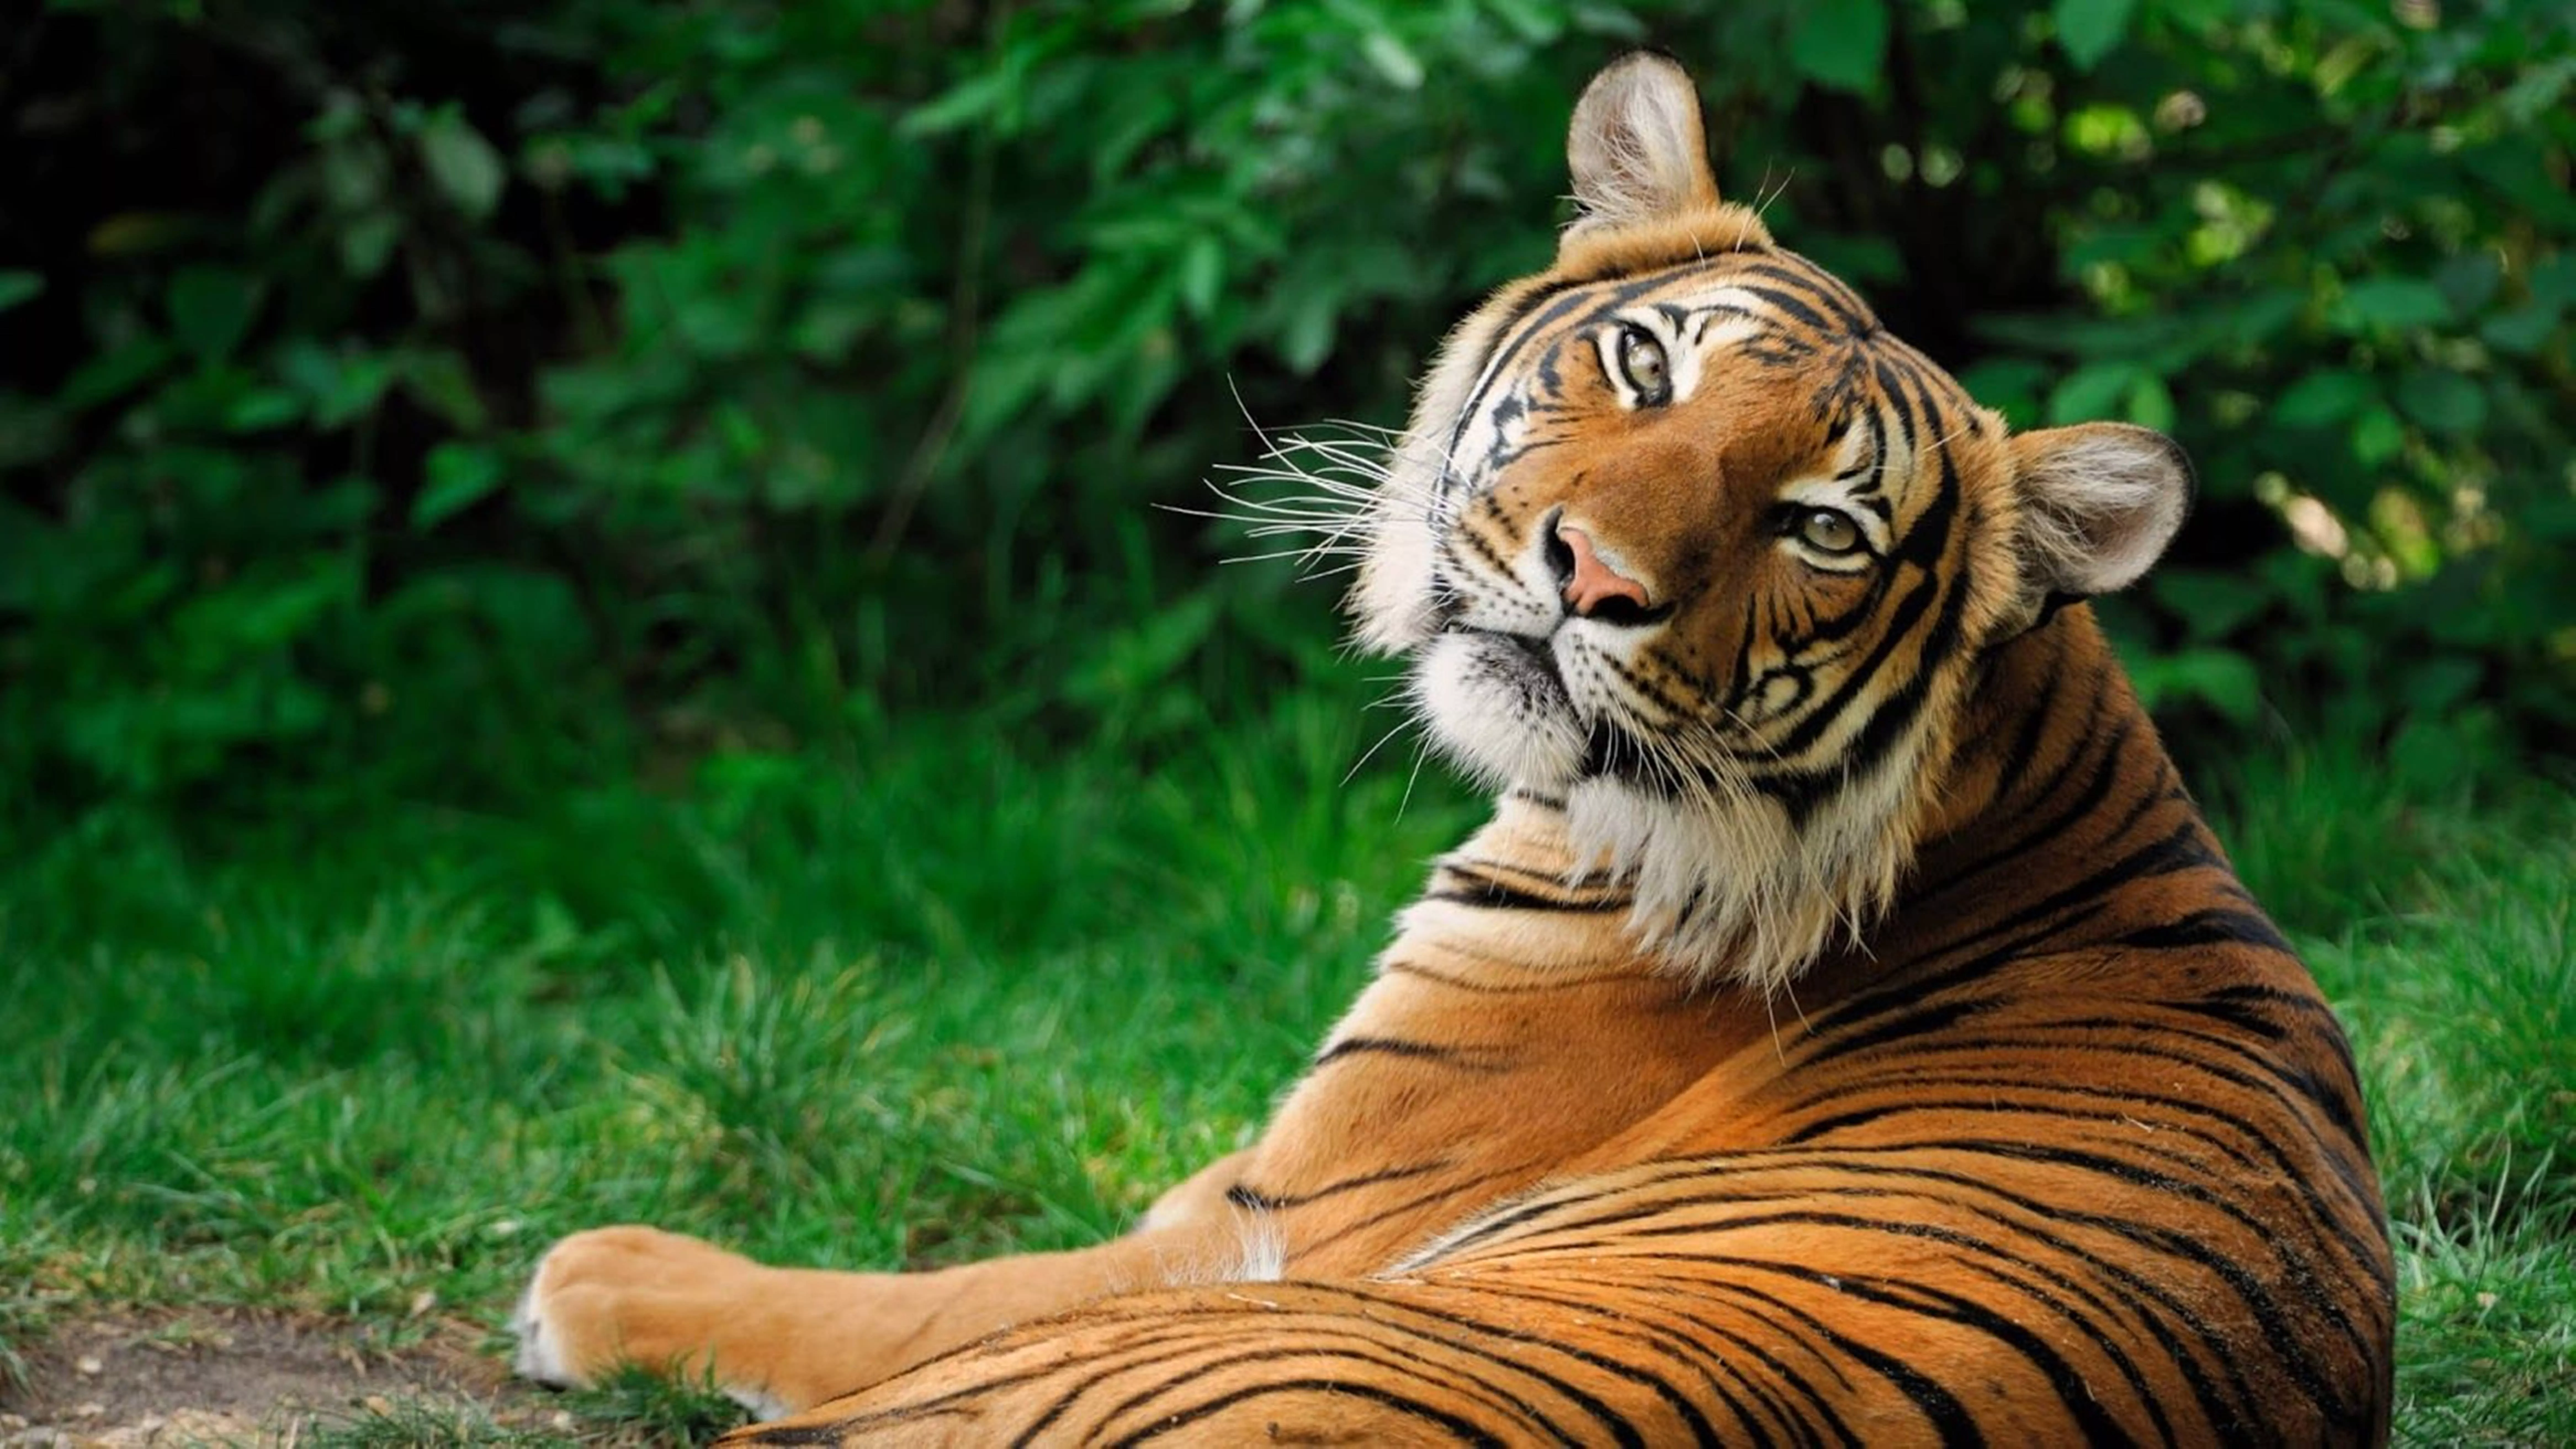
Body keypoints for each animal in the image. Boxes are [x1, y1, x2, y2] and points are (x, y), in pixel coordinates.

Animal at [511, 52, 2395, 1446]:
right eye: (1644, 362)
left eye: (1823, 529)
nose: (1596, 578)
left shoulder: (1276, 1220)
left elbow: (900, 1294)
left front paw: (596, 1278)